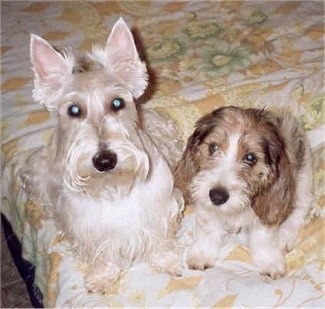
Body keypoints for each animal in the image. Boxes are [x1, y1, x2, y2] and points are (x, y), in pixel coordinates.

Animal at [21, 18, 184, 292]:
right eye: (73, 110)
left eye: (117, 103)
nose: (105, 160)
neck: (114, 187)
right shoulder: (87, 227)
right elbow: (101, 253)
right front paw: (101, 277)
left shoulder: (160, 208)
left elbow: (159, 237)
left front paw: (167, 261)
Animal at [173, 106, 312, 280]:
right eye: (213, 147)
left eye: (250, 158)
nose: (217, 196)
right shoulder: (207, 207)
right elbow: (208, 230)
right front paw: (202, 254)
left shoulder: (264, 217)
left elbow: (263, 238)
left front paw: (270, 262)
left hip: (303, 183)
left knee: (300, 210)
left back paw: (285, 236)